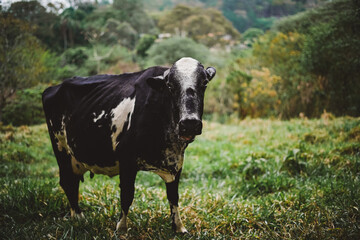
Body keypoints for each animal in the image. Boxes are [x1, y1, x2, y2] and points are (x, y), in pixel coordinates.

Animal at [42, 57, 217, 233]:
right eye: (170, 86)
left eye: (204, 83)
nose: (190, 123)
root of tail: (54, 87)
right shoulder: (126, 160)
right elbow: (127, 195)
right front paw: (121, 228)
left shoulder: (176, 161)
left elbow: (173, 196)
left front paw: (179, 227)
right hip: (61, 149)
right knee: (68, 182)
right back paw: (79, 218)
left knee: (73, 181)